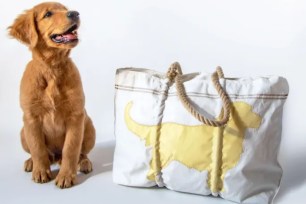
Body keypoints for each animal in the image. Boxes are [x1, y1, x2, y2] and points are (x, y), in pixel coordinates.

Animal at [8, 2, 95, 189]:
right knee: (41, 153)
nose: (75, 13)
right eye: (48, 14)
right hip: (23, 132)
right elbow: (38, 148)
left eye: (66, 9)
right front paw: (41, 171)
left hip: (89, 127)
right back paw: (32, 162)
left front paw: (66, 176)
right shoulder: (31, 118)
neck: (52, 67)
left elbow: (71, 149)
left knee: (81, 153)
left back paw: (83, 163)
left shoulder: (76, 116)